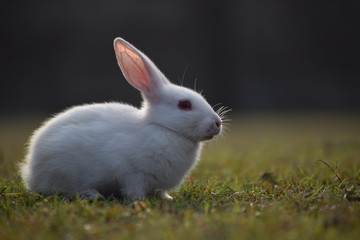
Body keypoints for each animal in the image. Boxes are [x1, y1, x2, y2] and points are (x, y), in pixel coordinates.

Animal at [19, 37, 224, 202]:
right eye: (184, 104)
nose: (217, 123)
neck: (164, 128)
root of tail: (30, 173)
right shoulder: (132, 174)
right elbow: (134, 189)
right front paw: (138, 202)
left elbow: (160, 192)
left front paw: (168, 199)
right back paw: (91, 194)